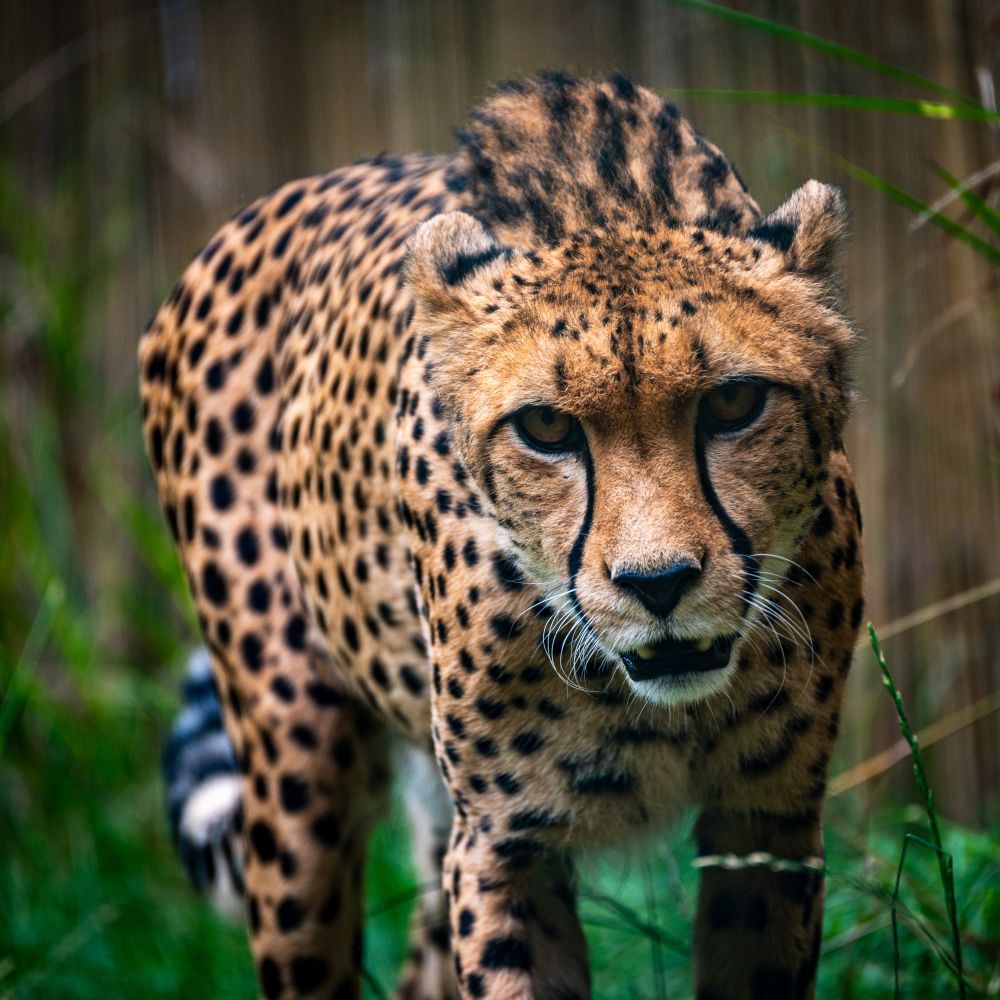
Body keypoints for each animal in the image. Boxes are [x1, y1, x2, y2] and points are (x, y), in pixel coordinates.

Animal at [139, 71, 864, 1000]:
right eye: (546, 427)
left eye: (735, 402)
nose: (658, 584)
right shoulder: (501, 843)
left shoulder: (769, 823)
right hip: (296, 769)